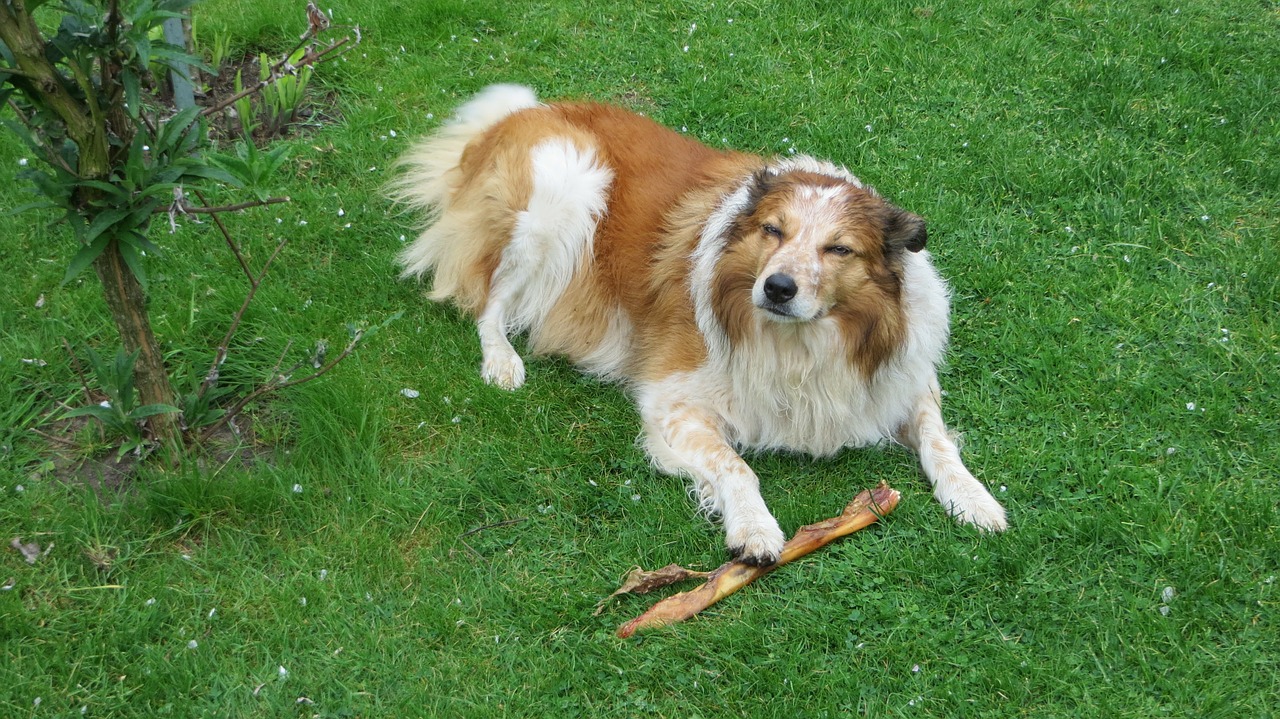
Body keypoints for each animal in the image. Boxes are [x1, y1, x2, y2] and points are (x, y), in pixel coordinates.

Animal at [389, 85, 1008, 565]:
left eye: (839, 249)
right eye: (772, 231)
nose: (777, 288)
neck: (802, 345)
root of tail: (518, 115)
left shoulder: (900, 378)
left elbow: (937, 440)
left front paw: (974, 499)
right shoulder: (672, 402)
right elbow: (736, 466)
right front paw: (756, 529)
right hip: (562, 188)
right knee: (487, 301)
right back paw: (502, 362)